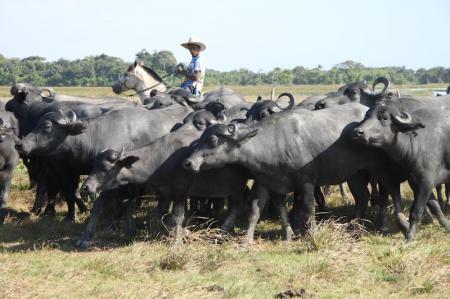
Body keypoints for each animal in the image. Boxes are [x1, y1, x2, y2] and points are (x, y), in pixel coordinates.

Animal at [184, 104, 404, 238]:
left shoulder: (306, 182)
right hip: (355, 173)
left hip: (378, 169)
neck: (272, 142)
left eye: (212, 140)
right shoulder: (266, 182)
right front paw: (248, 239)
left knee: (386, 192)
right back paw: (354, 225)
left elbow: (309, 208)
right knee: (362, 197)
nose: (188, 163)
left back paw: (383, 224)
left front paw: (312, 233)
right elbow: (255, 210)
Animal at [354, 99, 450, 243]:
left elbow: (415, 212)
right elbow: (434, 205)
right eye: (366, 116)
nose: (357, 132)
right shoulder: (415, 182)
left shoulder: (426, 181)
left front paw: (409, 238)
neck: (417, 143)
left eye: (384, 118)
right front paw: (446, 224)